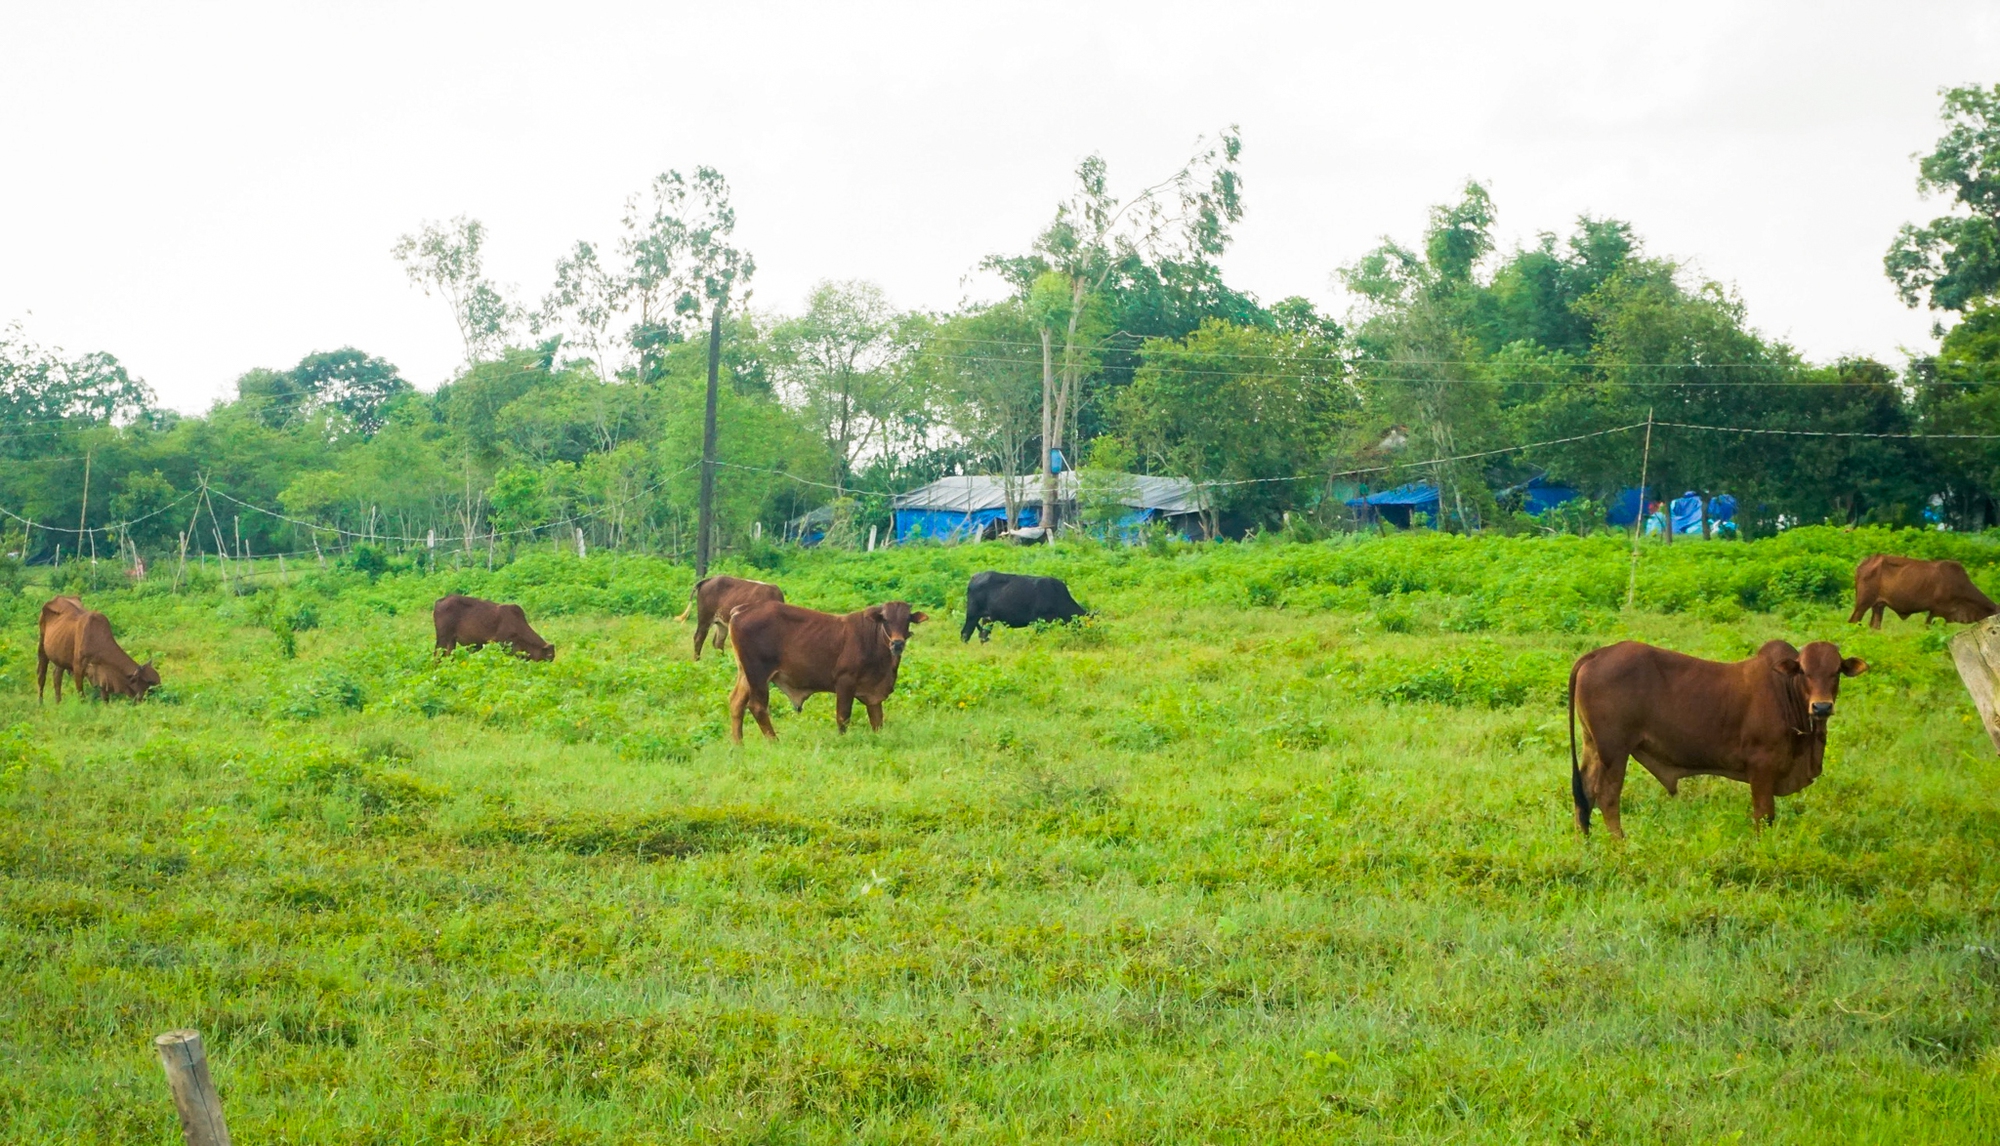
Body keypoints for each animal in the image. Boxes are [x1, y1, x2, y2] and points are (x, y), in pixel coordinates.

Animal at [728, 600, 928, 740]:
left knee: (736, 703)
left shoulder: (873, 694)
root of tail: (742, 609)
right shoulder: (845, 681)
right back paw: (774, 741)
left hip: (745, 674)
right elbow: (843, 716)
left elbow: (877, 721)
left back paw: (738, 744)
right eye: (885, 619)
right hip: (758, 674)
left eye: (907, 619)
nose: (898, 643)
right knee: (758, 707)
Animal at [960, 568, 1088, 640]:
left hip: (988, 618)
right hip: (972, 614)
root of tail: (974, 577)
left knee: (983, 635)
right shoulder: (1040, 620)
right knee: (965, 634)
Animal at [1568, 640, 1864, 836]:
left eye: (1836, 671)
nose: (1821, 707)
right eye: (1803, 671)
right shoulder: (1761, 767)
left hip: (1592, 745)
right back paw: (1620, 846)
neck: (1784, 690)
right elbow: (1764, 815)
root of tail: (1597, 654)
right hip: (1615, 751)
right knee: (1607, 797)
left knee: (1585, 793)